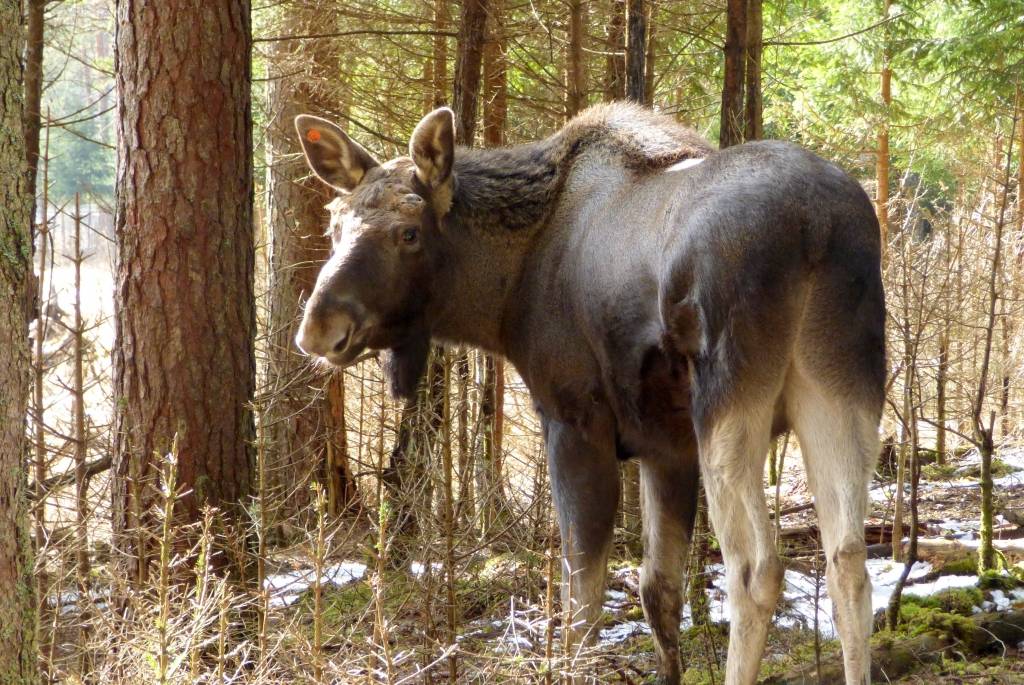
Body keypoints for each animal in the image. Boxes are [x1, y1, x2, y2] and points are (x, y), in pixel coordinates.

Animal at [292, 102, 884, 683]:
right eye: (334, 223)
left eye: (409, 231)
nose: (318, 328)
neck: (502, 296)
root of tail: (817, 227)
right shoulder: (666, 446)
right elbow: (656, 590)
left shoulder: (574, 421)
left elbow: (581, 603)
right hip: (841, 391)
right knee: (849, 563)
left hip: (730, 404)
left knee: (755, 571)